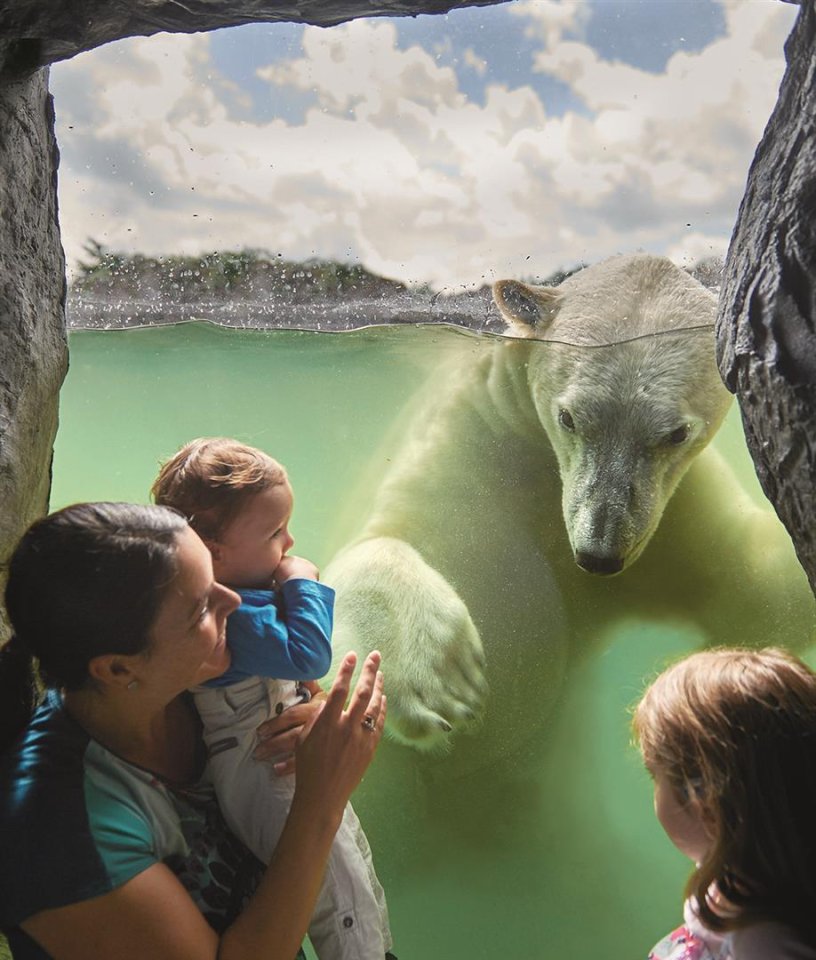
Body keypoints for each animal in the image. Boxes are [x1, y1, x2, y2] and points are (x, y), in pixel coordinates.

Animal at [326, 255, 816, 764]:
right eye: (568, 417)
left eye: (676, 433)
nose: (598, 554)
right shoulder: (465, 446)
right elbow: (383, 539)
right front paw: (439, 683)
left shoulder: (677, 514)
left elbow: (752, 589)